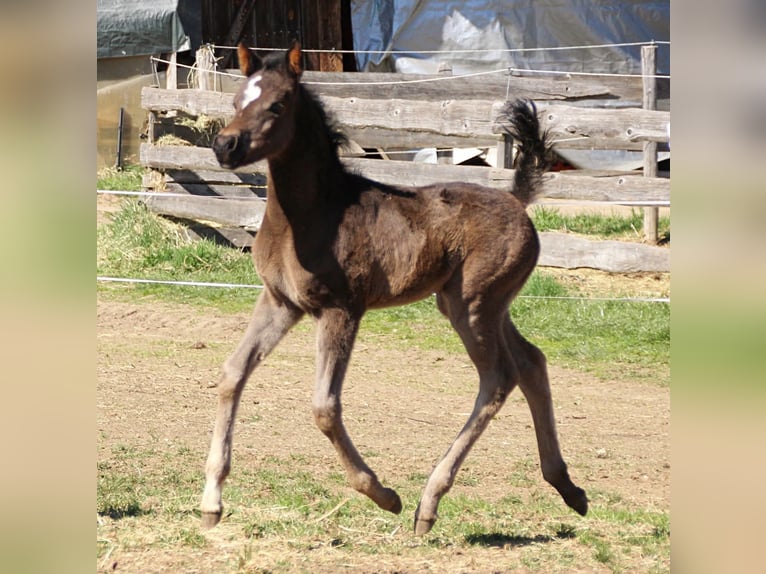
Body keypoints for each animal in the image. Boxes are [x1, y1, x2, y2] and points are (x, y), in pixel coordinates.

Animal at [203, 41, 587, 535]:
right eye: (235, 101)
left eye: (277, 105)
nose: (224, 145)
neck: (311, 214)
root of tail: (516, 199)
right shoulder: (281, 302)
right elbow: (233, 373)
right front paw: (211, 501)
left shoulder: (342, 309)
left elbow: (324, 407)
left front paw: (384, 495)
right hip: (484, 304)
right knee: (531, 364)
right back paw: (567, 487)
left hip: (472, 307)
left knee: (499, 378)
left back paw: (429, 502)